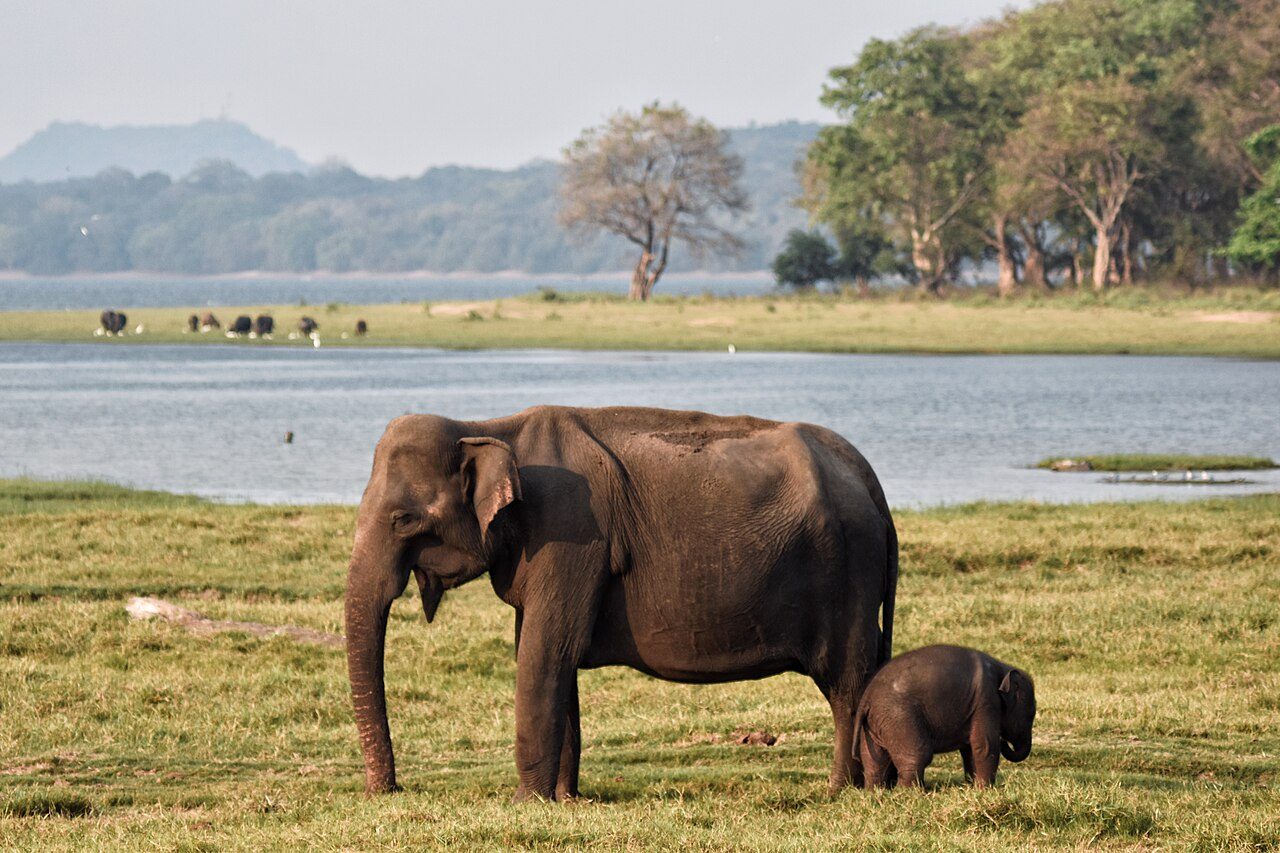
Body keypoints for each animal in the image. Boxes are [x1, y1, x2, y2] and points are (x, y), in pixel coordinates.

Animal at [345, 405, 898, 800]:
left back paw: (842, 792)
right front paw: (565, 800)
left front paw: (526, 802)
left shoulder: (570, 533)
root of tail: (870, 478)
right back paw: (881, 784)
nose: (387, 792)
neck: (490, 427)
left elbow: (544, 655)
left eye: (402, 520)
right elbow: (552, 658)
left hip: (848, 570)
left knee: (847, 684)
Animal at [853, 645, 1036, 789]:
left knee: (873, 760)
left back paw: (875, 793)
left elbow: (969, 749)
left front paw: (973, 787)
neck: (1002, 668)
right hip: (899, 717)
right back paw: (911, 794)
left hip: (875, 723)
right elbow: (984, 745)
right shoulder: (986, 702)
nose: (1004, 740)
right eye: (1030, 715)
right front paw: (985, 790)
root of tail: (867, 696)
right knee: (917, 756)